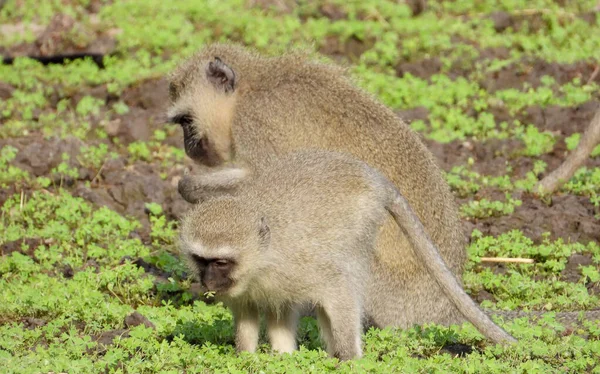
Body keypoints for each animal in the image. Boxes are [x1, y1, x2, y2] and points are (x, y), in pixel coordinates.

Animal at [166, 44, 466, 330]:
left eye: (186, 121)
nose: (187, 147)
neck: (252, 86)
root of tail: (439, 313)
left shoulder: (256, 123)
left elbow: (265, 182)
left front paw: (189, 186)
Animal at [178, 150, 516, 360]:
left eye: (221, 262)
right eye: (201, 261)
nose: (208, 281)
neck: (263, 259)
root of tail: (369, 174)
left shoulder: (299, 267)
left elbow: (339, 291)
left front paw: (350, 360)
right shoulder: (248, 289)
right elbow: (250, 314)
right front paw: (249, 359)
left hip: (362, 223)